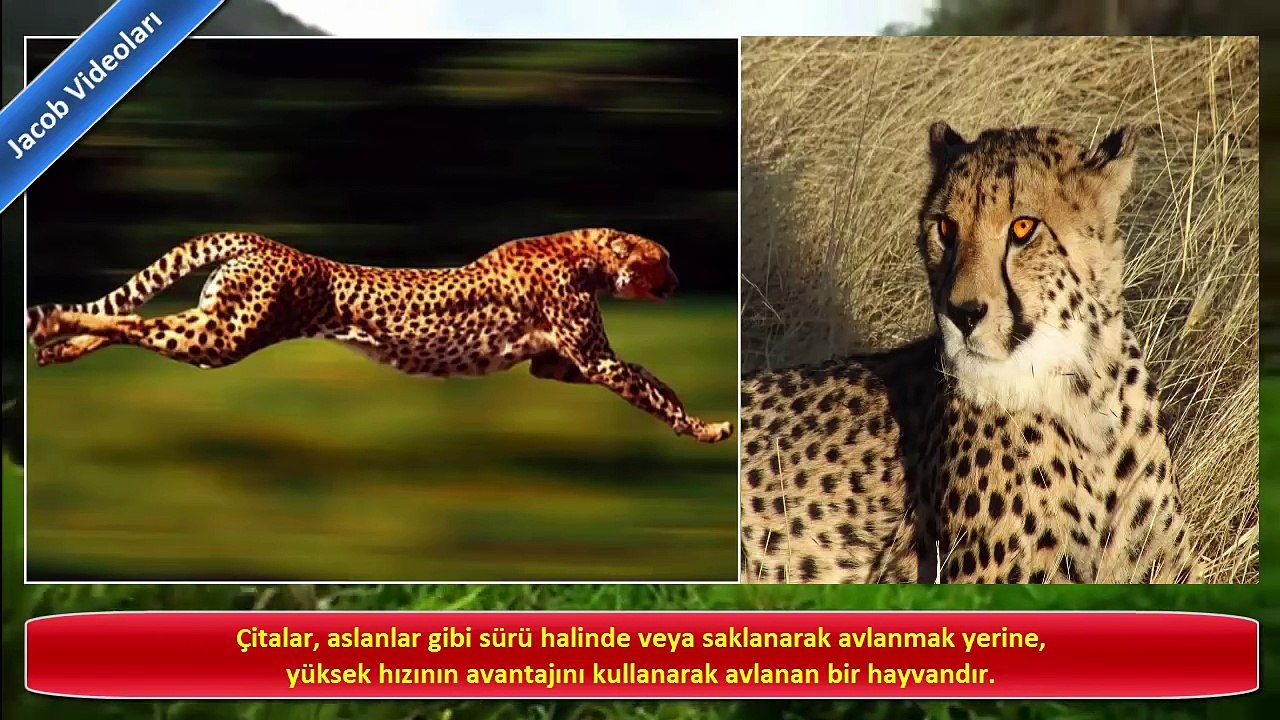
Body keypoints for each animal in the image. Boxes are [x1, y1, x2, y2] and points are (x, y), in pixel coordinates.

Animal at [25, 227, 734, 444]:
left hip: (214, 329)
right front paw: (705, 428)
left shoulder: (558, 365)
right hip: (226, 337)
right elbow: (650, 387)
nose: (678, 279)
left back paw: (60, 346)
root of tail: (262, 240)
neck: (586, 254)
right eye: (664, 258)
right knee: (135, 322)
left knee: (138, 325)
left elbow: (652, 377)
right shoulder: (591, 360)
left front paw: (700, 420)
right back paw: (56, 325)